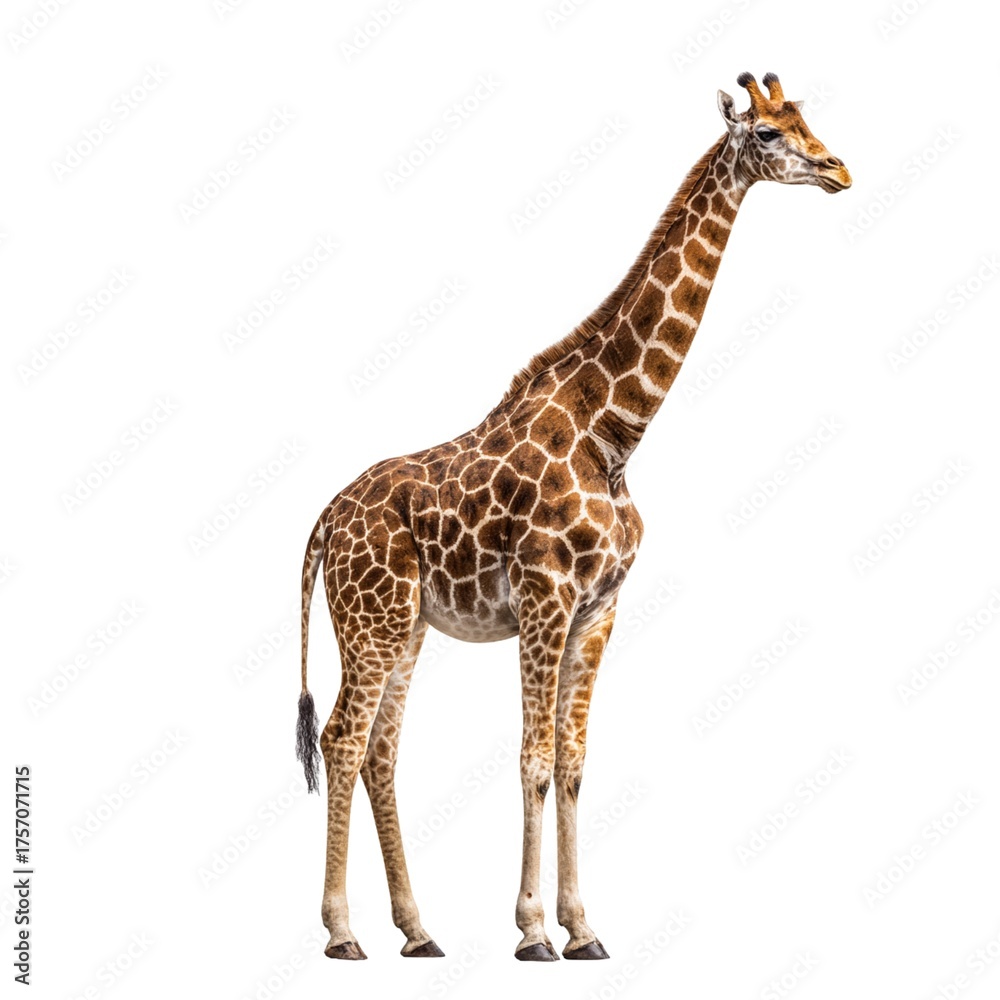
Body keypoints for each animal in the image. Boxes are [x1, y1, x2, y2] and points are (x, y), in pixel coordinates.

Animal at [296, 72, 851, 961]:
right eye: (768, 133)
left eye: (806, 121)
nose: (839, 170)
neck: (615, 431)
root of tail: (323, 520)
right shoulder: (545, 601)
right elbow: (532, 758)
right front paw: (531, 932)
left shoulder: (599, 610)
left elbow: (575, 762)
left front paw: (583, 927)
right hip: (371, 621)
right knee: (343, 739)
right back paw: (344, 933)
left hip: (404, 626)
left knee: (380, 750)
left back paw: (417, 931)